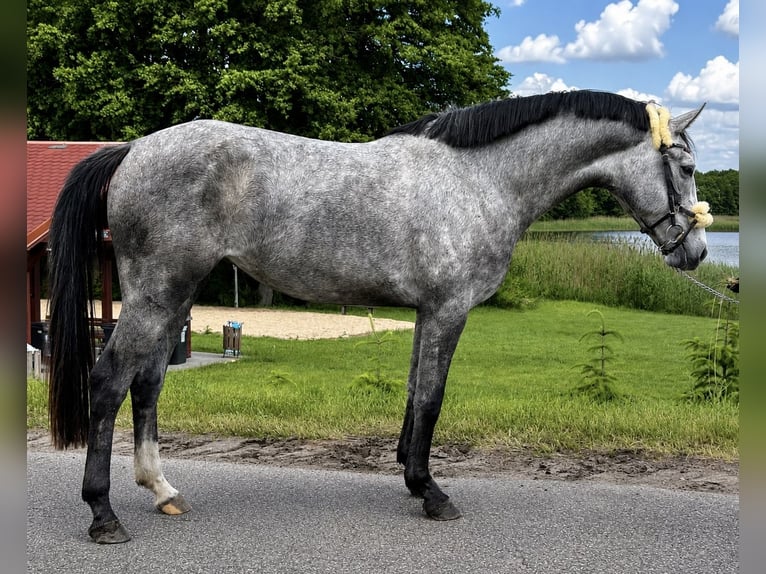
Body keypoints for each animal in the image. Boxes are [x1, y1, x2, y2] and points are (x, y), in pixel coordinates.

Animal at [47, 90, 709, 543]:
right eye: (686, 167)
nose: (697, 253)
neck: (479, 181)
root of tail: (134, 149)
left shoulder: (426, 313)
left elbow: (416, 393)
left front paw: (411, 476)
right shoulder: (448, 311)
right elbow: (432, 398)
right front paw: (432, 493)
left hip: (171, 298)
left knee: (148, 385)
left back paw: (162, 490)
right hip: (156, 296)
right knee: (108, 384)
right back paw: (103, 515)